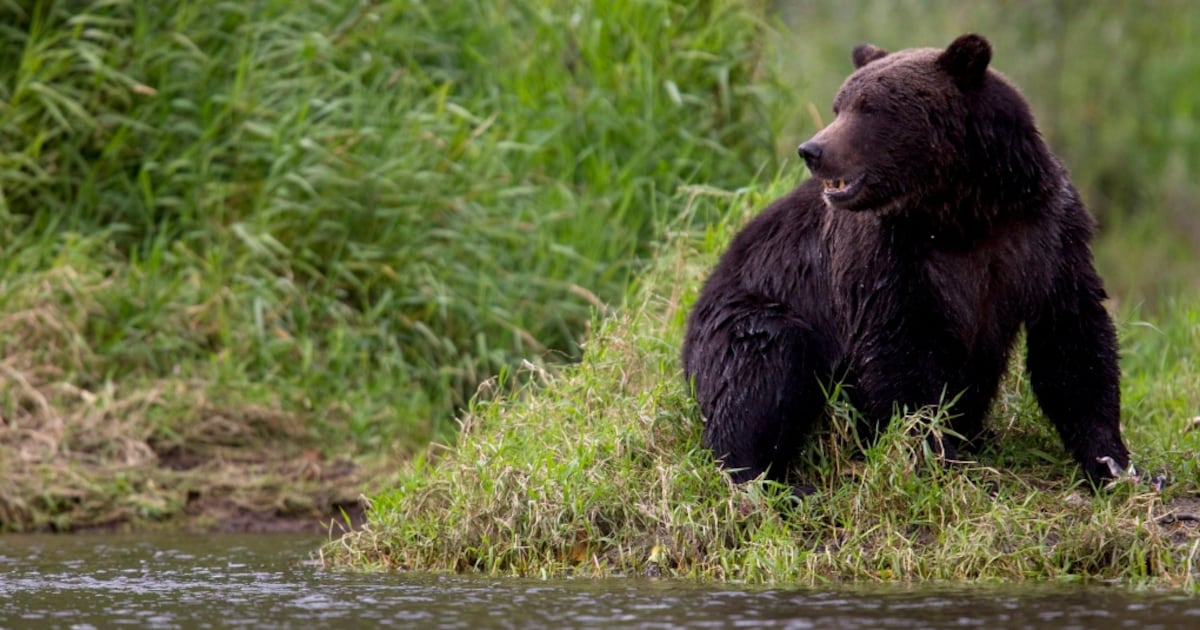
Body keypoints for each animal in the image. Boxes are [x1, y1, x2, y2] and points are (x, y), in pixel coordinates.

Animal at [681, 33, 1130, 491]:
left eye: (869, 107)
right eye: (839, 105)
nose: (812, 150)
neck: (962, 212)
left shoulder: (1043, 232)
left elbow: (1072, 340)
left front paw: (1113, 463)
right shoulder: (886, 255)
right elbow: (898, 353)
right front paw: (934, 455)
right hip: (746, 311)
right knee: (760, 364)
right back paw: (771, 480)